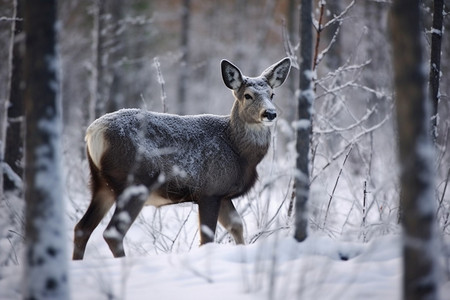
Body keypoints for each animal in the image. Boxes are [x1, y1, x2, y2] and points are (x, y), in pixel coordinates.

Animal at [73, 57, 292, 258]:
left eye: (272, 94)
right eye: (248, 95)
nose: (270, 113)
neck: (237, 151)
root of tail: (93, 132)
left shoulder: (222, 193)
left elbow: (237, 225)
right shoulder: (210, 190)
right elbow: (207, 238)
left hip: (101, 184)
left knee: (82, 228)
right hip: (134, 183)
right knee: (113, 233)